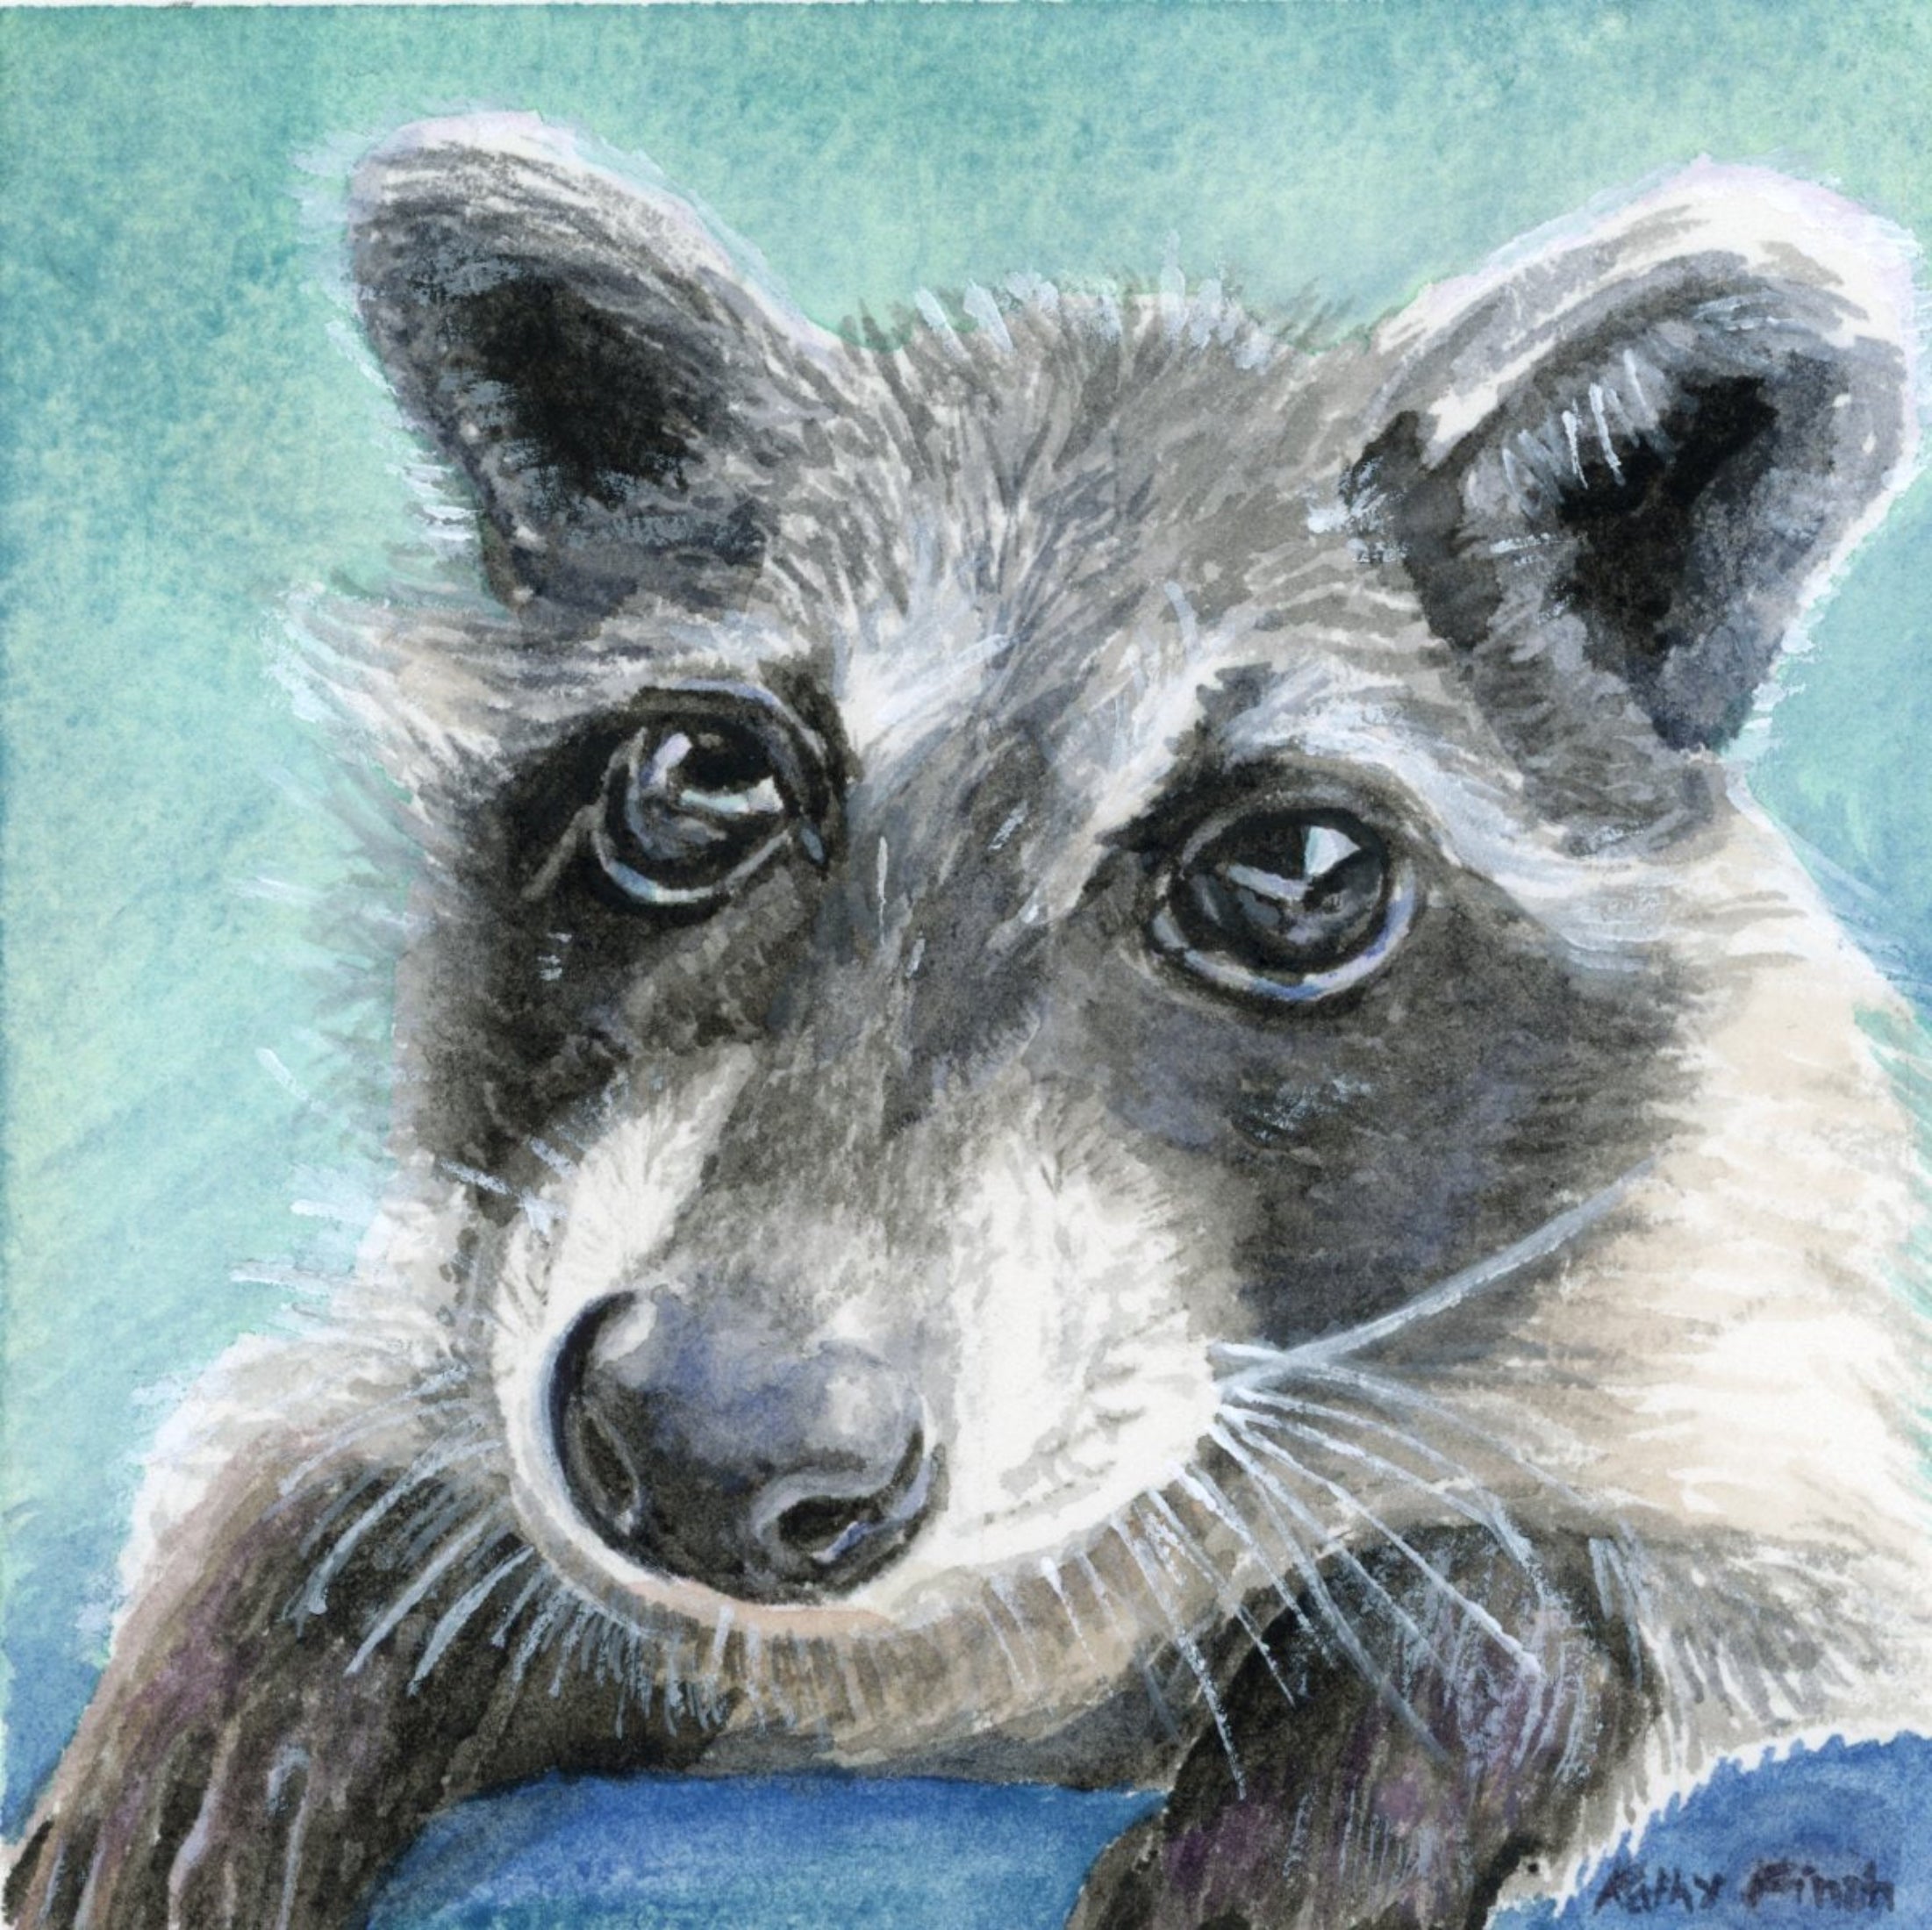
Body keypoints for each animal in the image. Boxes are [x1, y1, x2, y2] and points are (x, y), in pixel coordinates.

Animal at [9, 115, 1931, 1930]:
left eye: (1293, 869)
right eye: (701, 779)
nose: (713, 1445)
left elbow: (1673, 1600)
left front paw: (1445, 1638)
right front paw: (312, 1587)